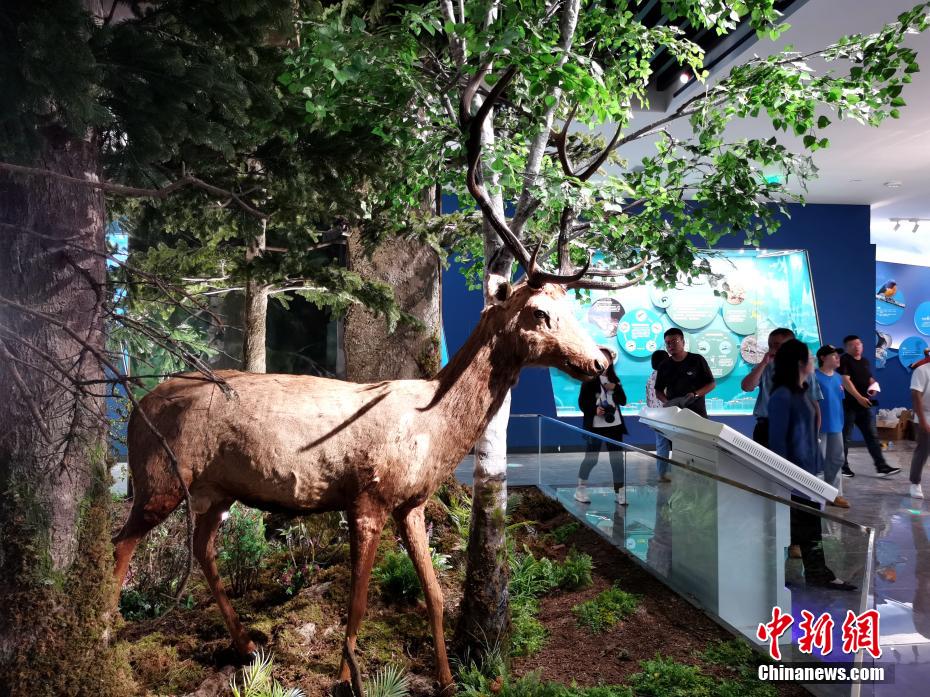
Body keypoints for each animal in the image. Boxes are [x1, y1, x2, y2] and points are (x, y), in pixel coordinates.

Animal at [112, 65, 630, 696]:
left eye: (572, 304)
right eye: (537, 312)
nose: (601, 360)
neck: (434, 427)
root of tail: (138, 408)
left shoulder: (411, 502)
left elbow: (435, 596)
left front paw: (448, 678)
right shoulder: (367, 495)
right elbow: (356, 604)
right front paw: (347, 677)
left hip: (214, 489)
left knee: (202, 547)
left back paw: (245, 645)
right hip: (160, 477)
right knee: (119, 546)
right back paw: (105, 636)